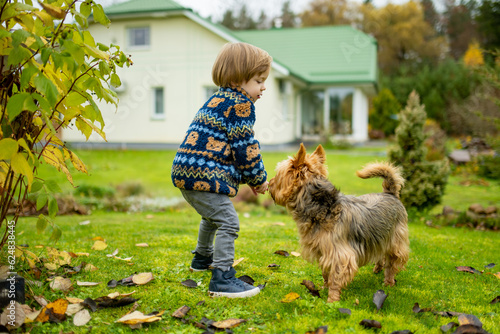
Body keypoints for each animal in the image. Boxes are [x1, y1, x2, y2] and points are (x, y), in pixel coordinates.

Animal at [270, 144, 410, 302]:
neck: (323, 209)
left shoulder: (340, 254)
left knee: (392, 263)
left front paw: (332, 299)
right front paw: (324, 287)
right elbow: (326, 273)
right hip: (379, 236)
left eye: (278, 175)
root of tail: (389, 193)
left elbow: (335, 277)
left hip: (395, 240)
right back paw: (378, 268)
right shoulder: (323, 250)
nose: (269, 183)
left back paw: (389, 282)